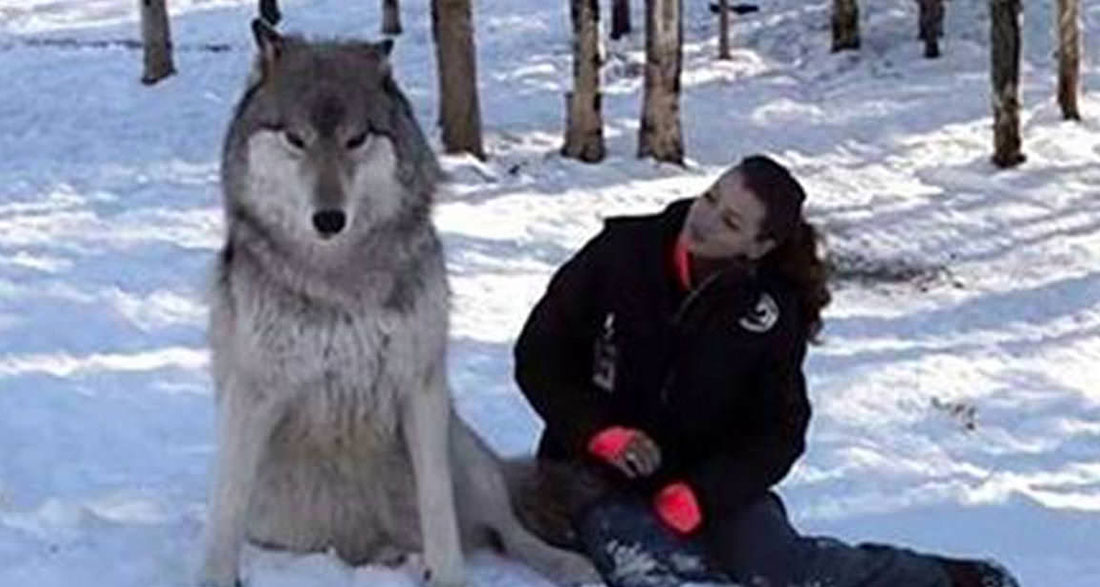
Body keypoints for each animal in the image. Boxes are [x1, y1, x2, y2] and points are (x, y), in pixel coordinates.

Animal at [202, 18, 602, 587]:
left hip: (465, 454)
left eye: (356, 139)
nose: (329, 219)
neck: (340, 279)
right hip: (282, 517)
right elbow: (225, 510)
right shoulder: (253, 393)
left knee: (507, 531)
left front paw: (450, 577)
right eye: (296, 139)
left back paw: (569, 565)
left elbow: (440, 510)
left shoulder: (420, 386)